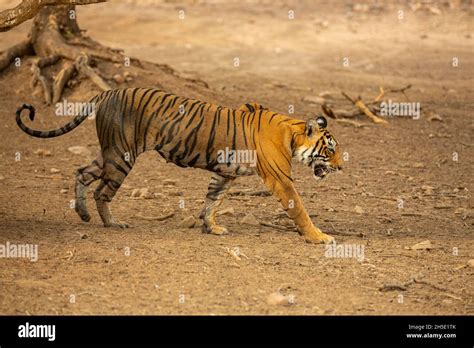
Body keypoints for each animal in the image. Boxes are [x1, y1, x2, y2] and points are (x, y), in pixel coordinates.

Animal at [14, 87, 340, 242]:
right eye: (331, 149)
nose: (340, 167)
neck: (292, 133)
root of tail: (107, 91)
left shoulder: (224, 174)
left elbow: (212, 201)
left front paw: (211, 227)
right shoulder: (280, 179)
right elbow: (299, 209)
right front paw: (319, 237)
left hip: (109, 153)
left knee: (82, 173)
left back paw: (82, 214)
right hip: (121, 156)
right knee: (102, 192)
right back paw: (112, 223)